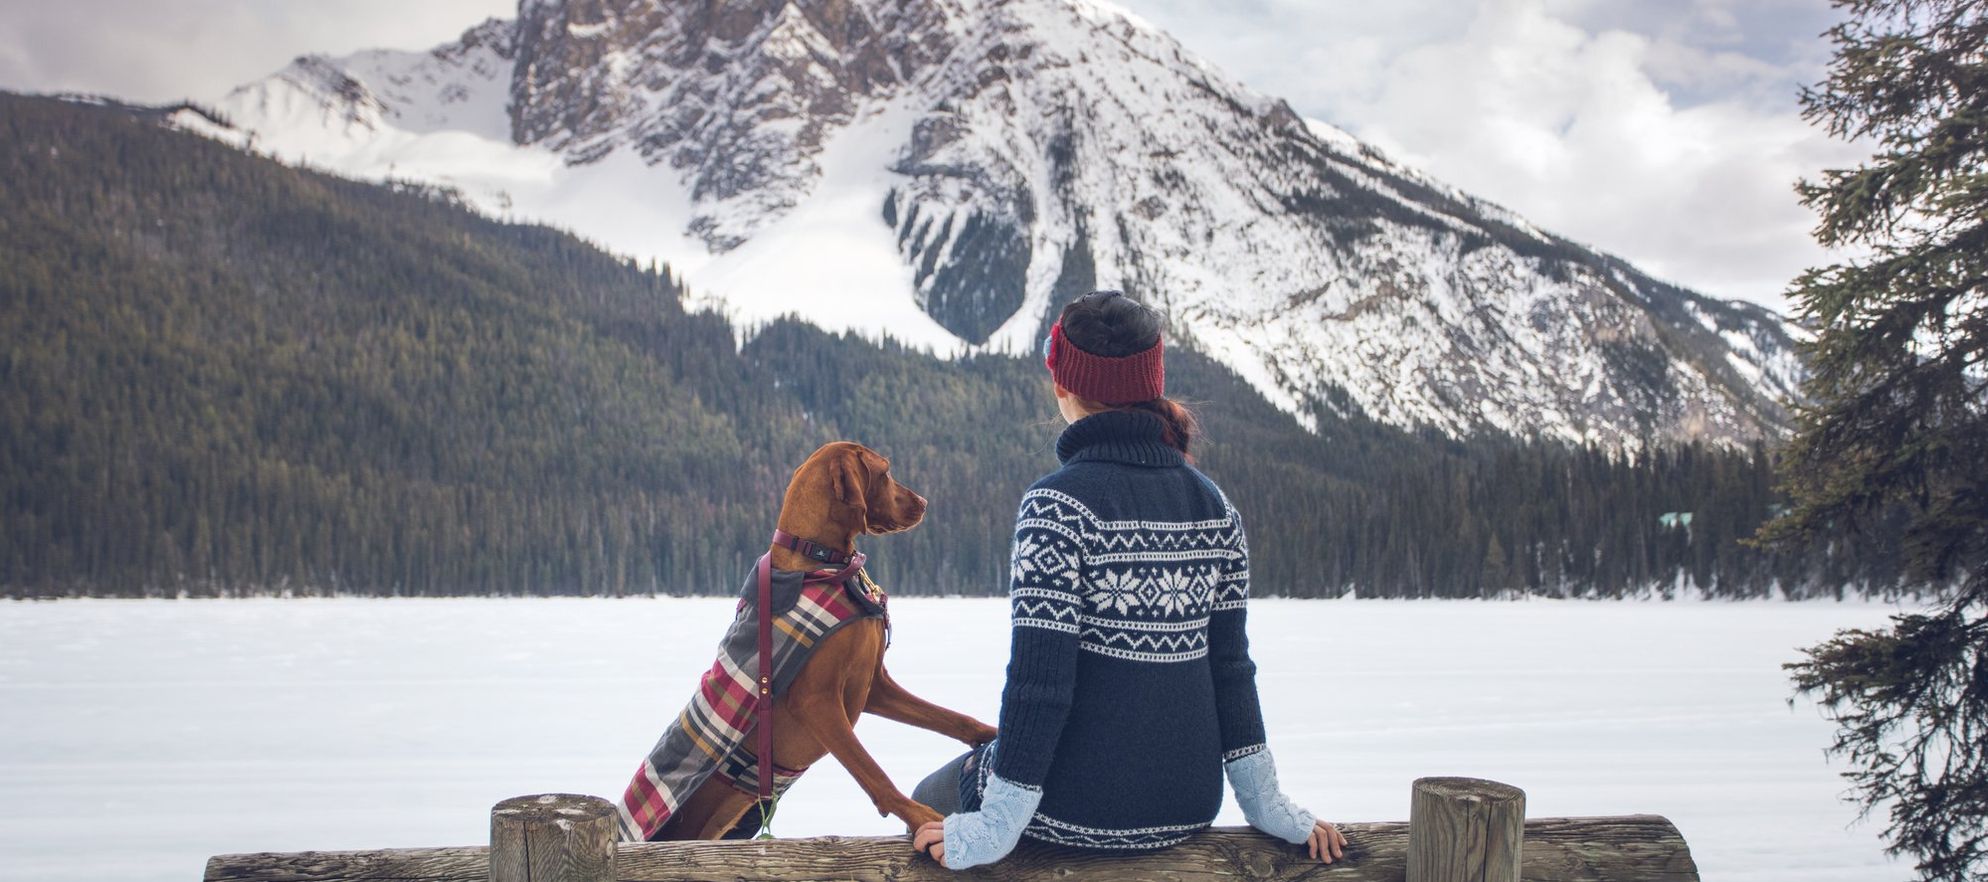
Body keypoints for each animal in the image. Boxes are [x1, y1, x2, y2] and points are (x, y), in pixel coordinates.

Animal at [648, 441, 994, 842]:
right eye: (886, 472)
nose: (923, 502)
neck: (821, 561)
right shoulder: (818, 702)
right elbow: (873, 772)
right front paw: (922, 817)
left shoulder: (875, 686)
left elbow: (951, 717)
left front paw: (993, 733)